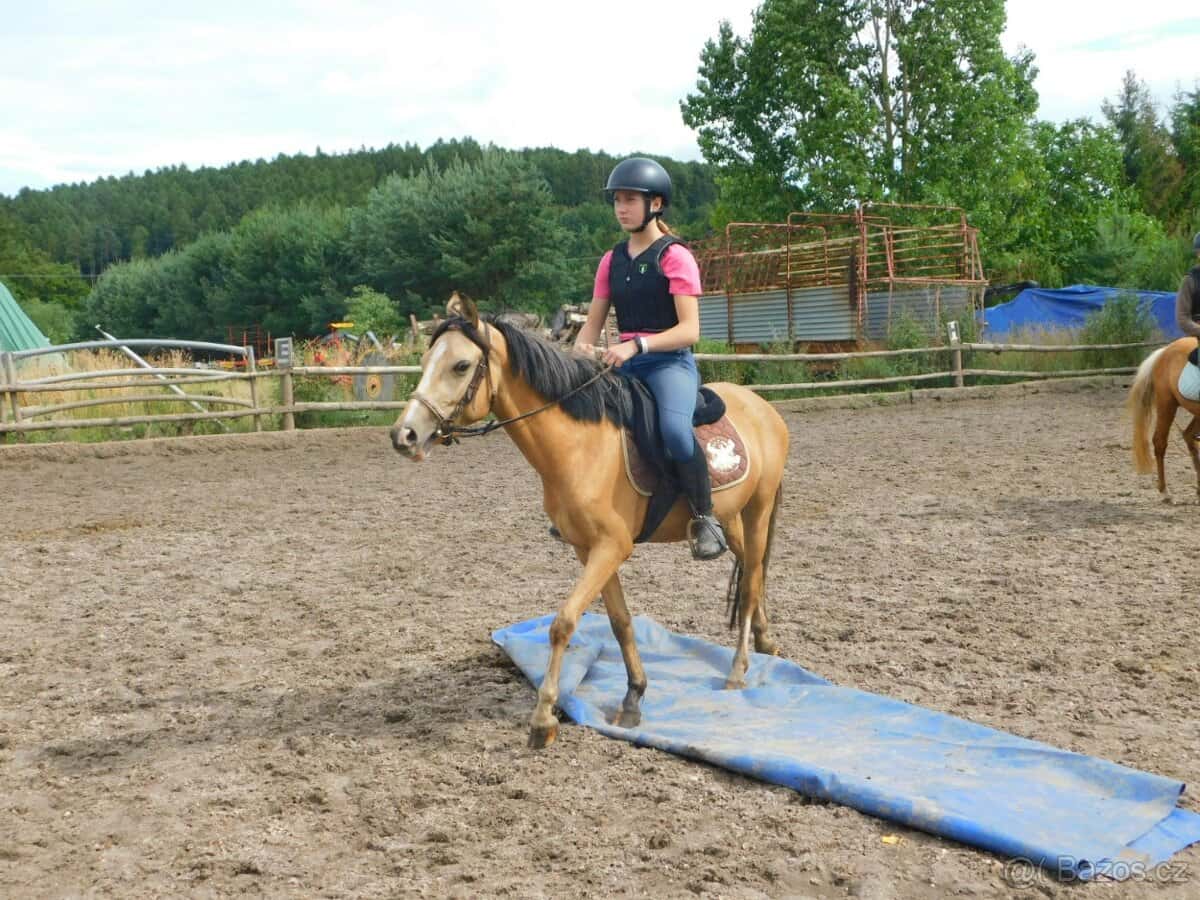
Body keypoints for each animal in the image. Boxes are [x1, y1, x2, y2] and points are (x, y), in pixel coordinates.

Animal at [390, 294, 791, 749]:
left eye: (460, 365)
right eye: (425, 361)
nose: (404, 434)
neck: (580, 446)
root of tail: (762, 407)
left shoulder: (611, 547)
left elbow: (563, 622)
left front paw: (543, 718)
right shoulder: (589, 549)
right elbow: (620, 622)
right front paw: (634, 696)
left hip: (758, 510)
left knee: (752, 580)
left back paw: (738, 670)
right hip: (731, 519)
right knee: (751, 573)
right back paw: (765, 641)